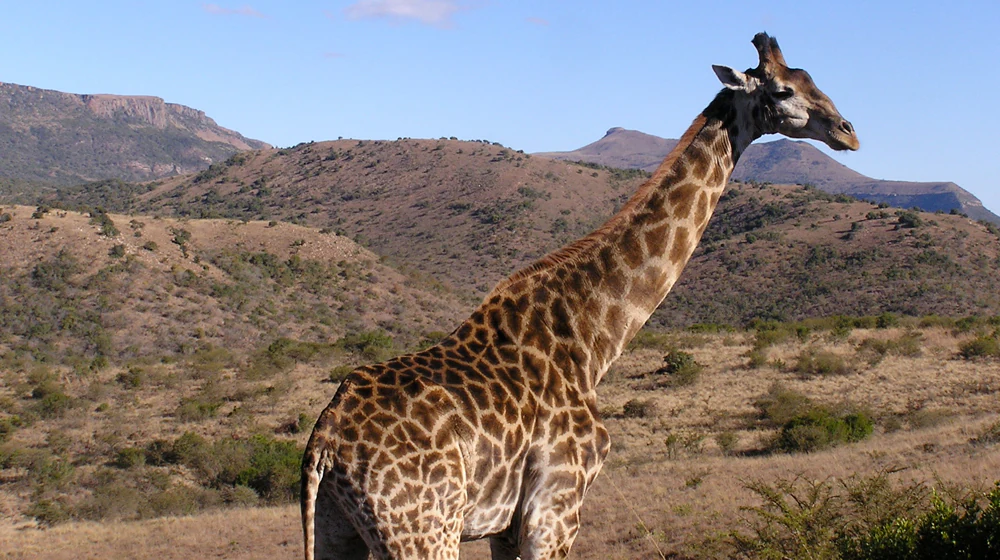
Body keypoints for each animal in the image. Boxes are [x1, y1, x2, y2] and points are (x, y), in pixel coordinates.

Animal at [302, 32, 858, 560]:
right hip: (424, 530)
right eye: (783, 90)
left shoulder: (506, 526)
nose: (847, 131)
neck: (594, 338)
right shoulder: (556, 508)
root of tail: (326, 443)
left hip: (339, 531)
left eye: (810, 78)